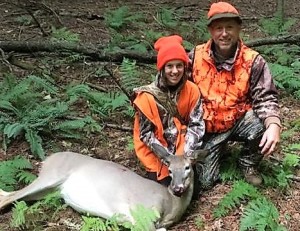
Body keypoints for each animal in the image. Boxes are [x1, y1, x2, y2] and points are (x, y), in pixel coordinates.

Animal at [0, 143, 206, 230]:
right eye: (169, 170)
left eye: (187, 167)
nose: (177, 188)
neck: (171, 204)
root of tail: (48, 158)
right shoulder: (142, 213)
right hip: (52, 175)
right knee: (8, 196)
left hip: (50, 190)